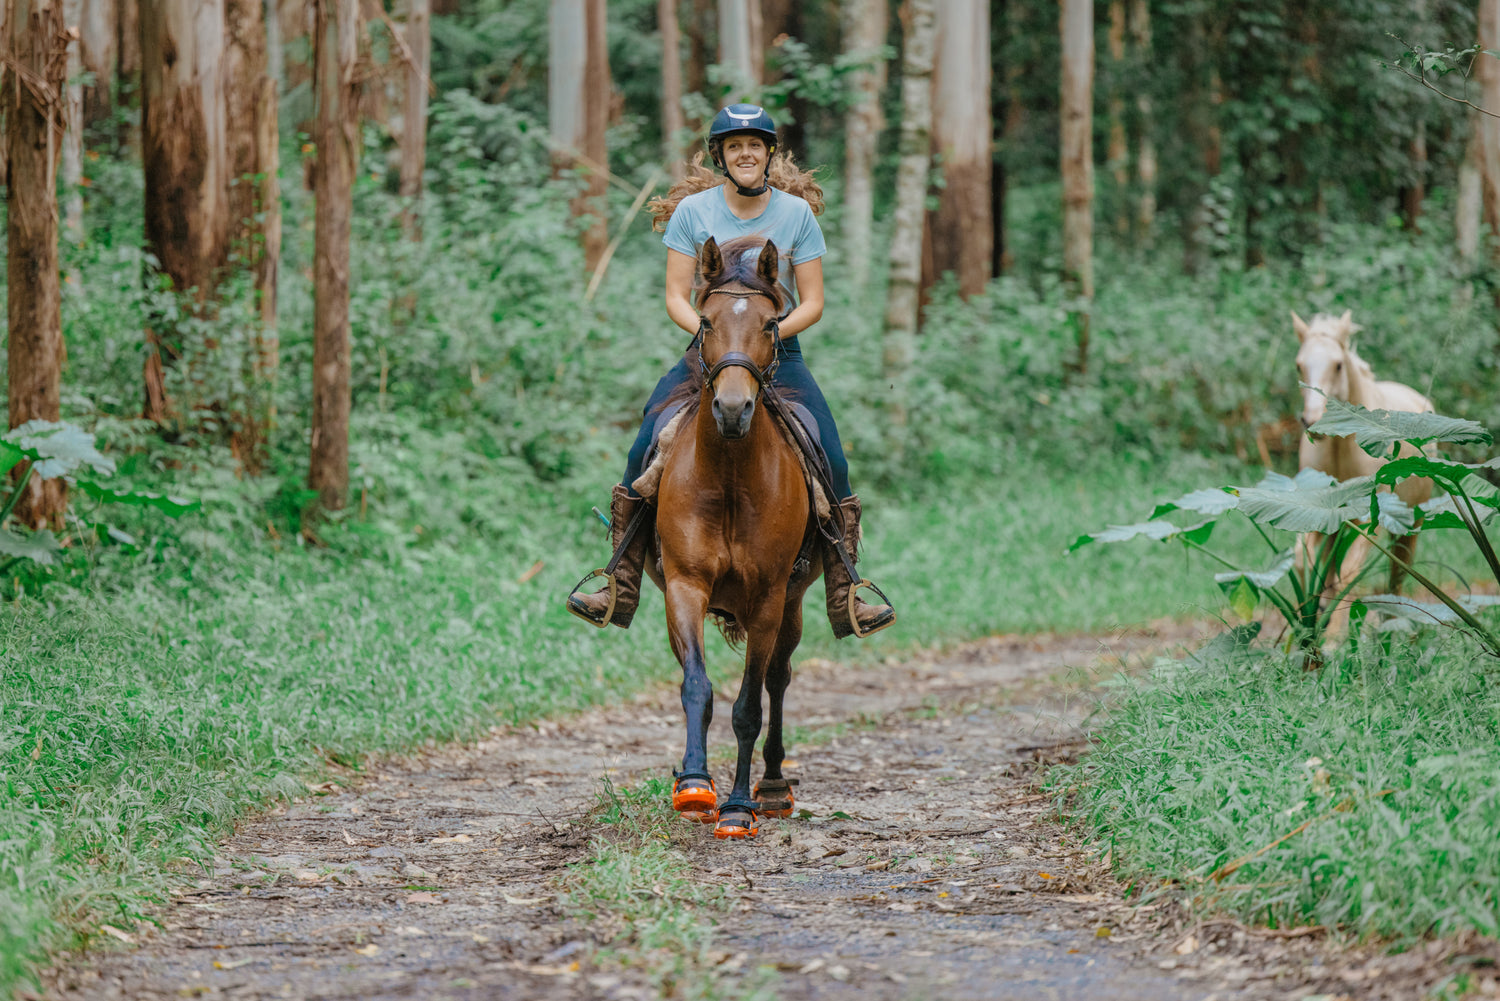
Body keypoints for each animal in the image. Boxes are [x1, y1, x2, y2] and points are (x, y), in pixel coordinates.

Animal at [642, 232, 822, 840]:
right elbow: (696, 687)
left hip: (792, 603)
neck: (729, 479)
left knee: (778, 679)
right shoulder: (685, 586)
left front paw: (739, 807)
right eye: (705, 320)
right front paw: (696, 786)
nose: (733, 408)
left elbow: (748, 707)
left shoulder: (768, 598)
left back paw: (772, 788)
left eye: (771, 324)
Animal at [1296, 310, 1434, 612]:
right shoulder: (1319, 512)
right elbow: (1304, 563)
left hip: (1409, 530)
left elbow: (1347, 577)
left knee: (1396, 581)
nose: (1313, 422)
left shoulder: (1369, 522)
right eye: (1299, 366)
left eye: (1338, 365)